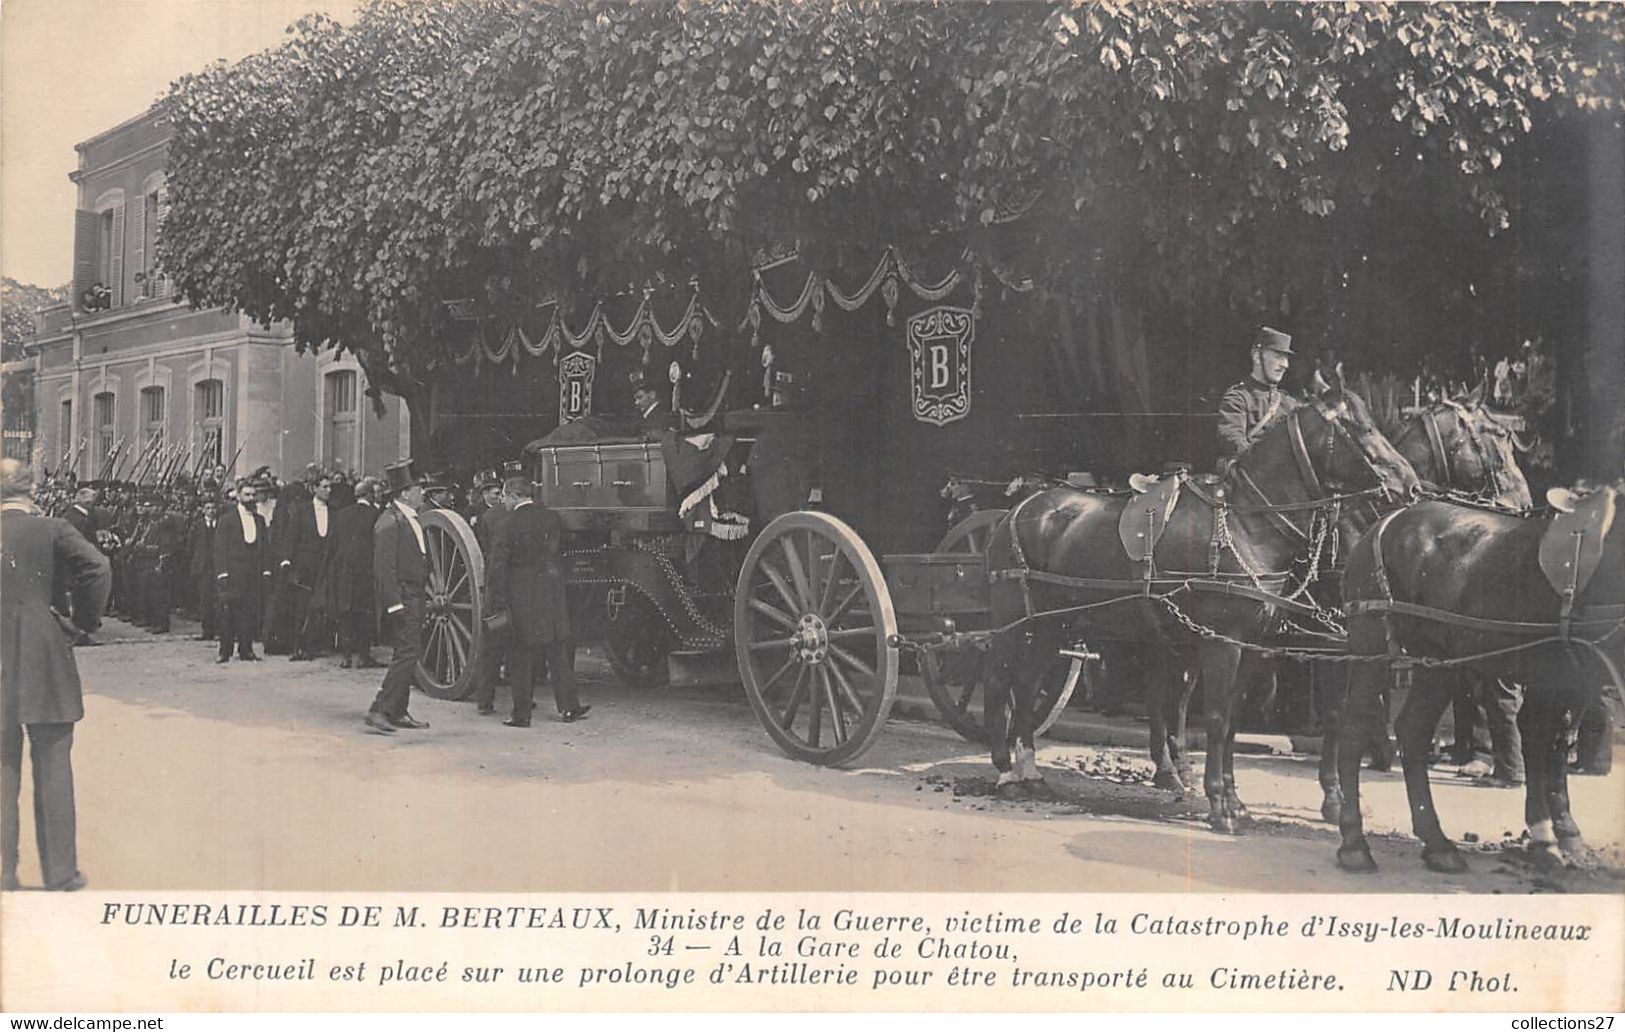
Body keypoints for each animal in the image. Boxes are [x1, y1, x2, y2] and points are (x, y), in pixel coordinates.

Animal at [981, 386, 1417, 832]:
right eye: (1363, 428)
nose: (1411, 485)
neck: (1246, 525)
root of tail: (1021, 507)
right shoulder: (1224, 643)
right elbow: (1218, 719)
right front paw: (1220, 805)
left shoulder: (1255, 646)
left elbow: (1233, 721)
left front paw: (1236, 802)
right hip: (1015, 622)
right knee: (999, 681)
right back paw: (1006, 771)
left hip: (1053, 626)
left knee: (1027, 685)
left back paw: (1030, 772)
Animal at [1332, 484, 1625, 871]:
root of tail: (1386, 521)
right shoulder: (1550, 674)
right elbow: (1539, 744)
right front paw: (1545, 839)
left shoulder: (1569, 679)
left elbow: (1554, 748)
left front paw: (1566, 836)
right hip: (1372, 643)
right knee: (1354, 727)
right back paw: (1354, 844)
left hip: (1439, 661)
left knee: (1412, 731)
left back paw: (1437, 843)